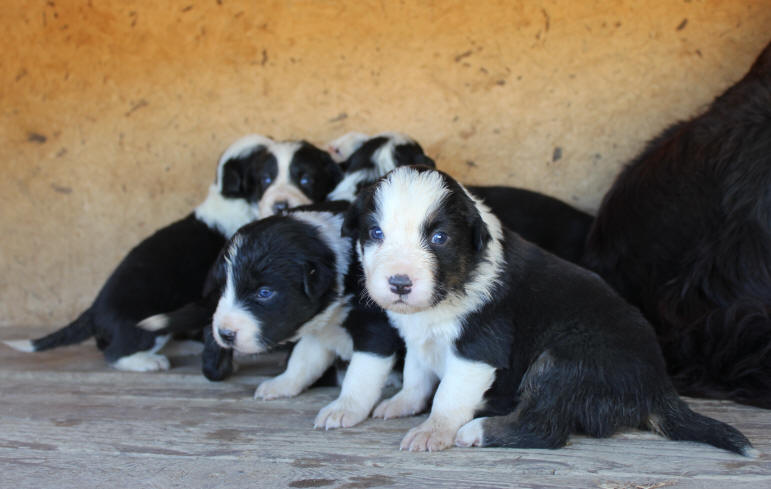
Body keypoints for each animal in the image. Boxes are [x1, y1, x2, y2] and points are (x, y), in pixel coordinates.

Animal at [342, 166, 752, 456]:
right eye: (376, 234)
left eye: (439, 238)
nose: (400, 283)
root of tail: (658, 386)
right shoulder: (420, 336)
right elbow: (417, 374)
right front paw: (400, 403)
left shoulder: (478, 349)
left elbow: (447, 396)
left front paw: (432, 431)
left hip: (564, 361)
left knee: (545, 428)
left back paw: (477, 431)